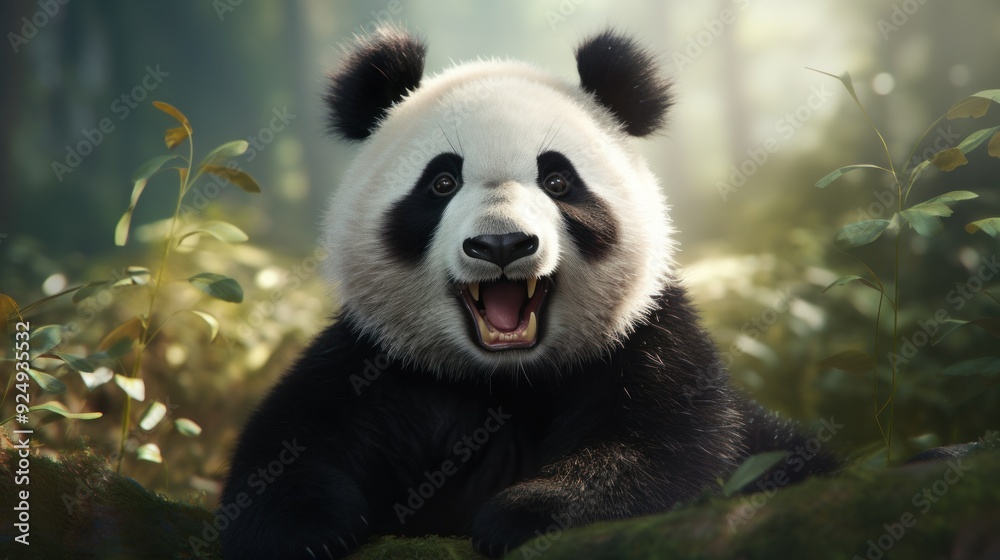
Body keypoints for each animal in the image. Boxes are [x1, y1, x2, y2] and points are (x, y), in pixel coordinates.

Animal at [220, 25, 835, 559]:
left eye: (558, 180)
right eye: (442, 182)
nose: (501, 244)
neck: (508, 380)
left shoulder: (646, 345)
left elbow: (663, 454)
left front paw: (527, 513)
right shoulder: (380, 364)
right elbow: (290, 446)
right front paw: (302, 530)